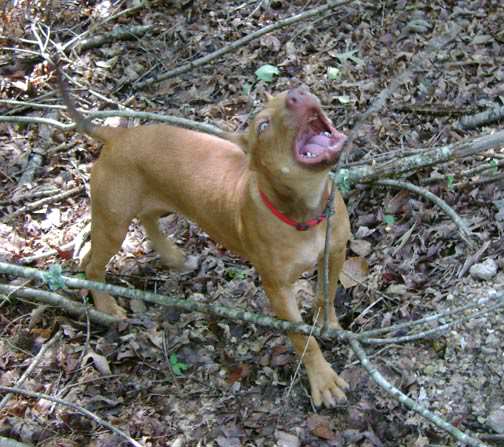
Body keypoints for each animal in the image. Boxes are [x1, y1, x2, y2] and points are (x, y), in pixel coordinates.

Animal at [62, 79, 350, 406]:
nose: (297, 94)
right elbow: (303, 338)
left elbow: (325, 295)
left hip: (157, 203)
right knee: (93, 265)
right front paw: (323, 378)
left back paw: (174, 257)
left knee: (143, 222)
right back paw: (105, 304)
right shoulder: (278, 289)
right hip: (114, 225)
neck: (306, 212)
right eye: (263, 126)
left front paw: (328, 324)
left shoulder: (335, 251)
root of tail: (118, 135)